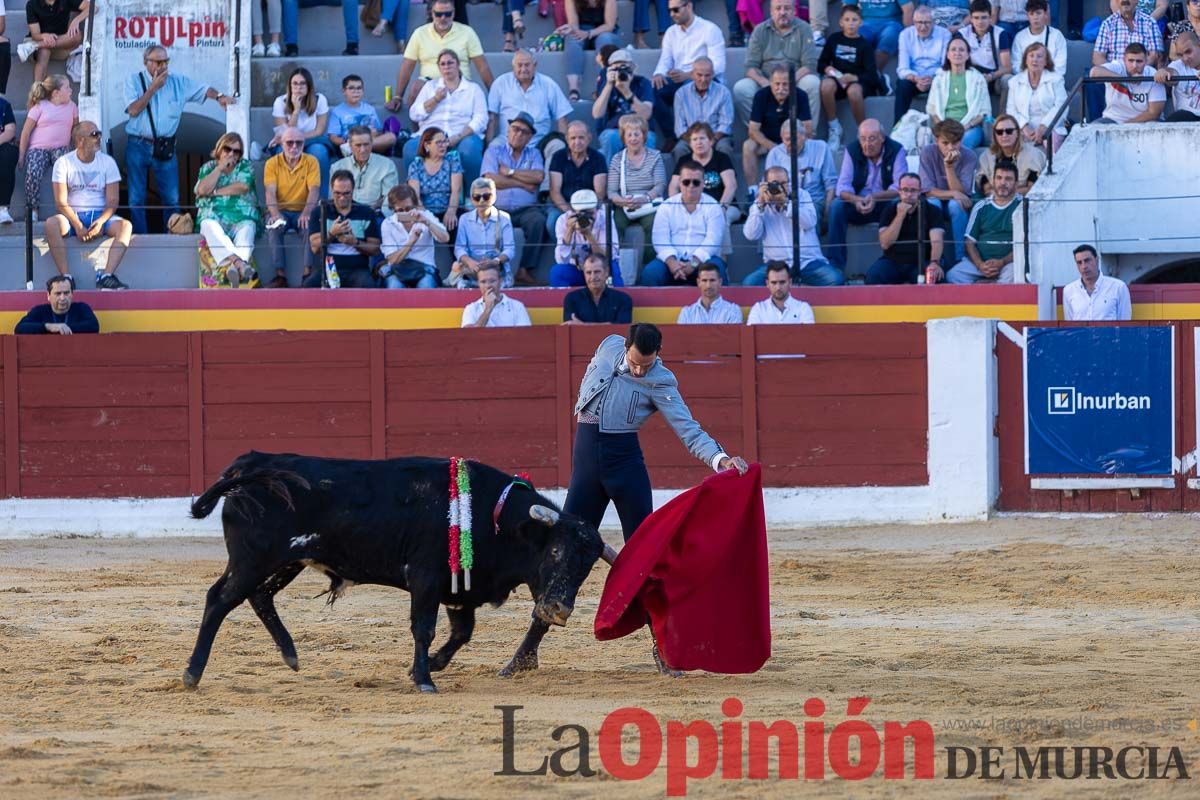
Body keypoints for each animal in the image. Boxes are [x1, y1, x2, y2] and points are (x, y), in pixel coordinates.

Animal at [189, 453, 619, 690]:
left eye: (587, 568)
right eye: (556, 550)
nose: (558, 610)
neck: (492, 516)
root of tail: (251, 463)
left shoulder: (459, 588)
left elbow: (461, 633)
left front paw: (432, 665)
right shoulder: (426, 579)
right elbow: (424, 628)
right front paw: (424, 679)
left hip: (286, 561)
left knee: (259, 596)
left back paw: (291, 655)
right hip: (252, 560)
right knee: (219, 599)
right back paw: (193, 674)